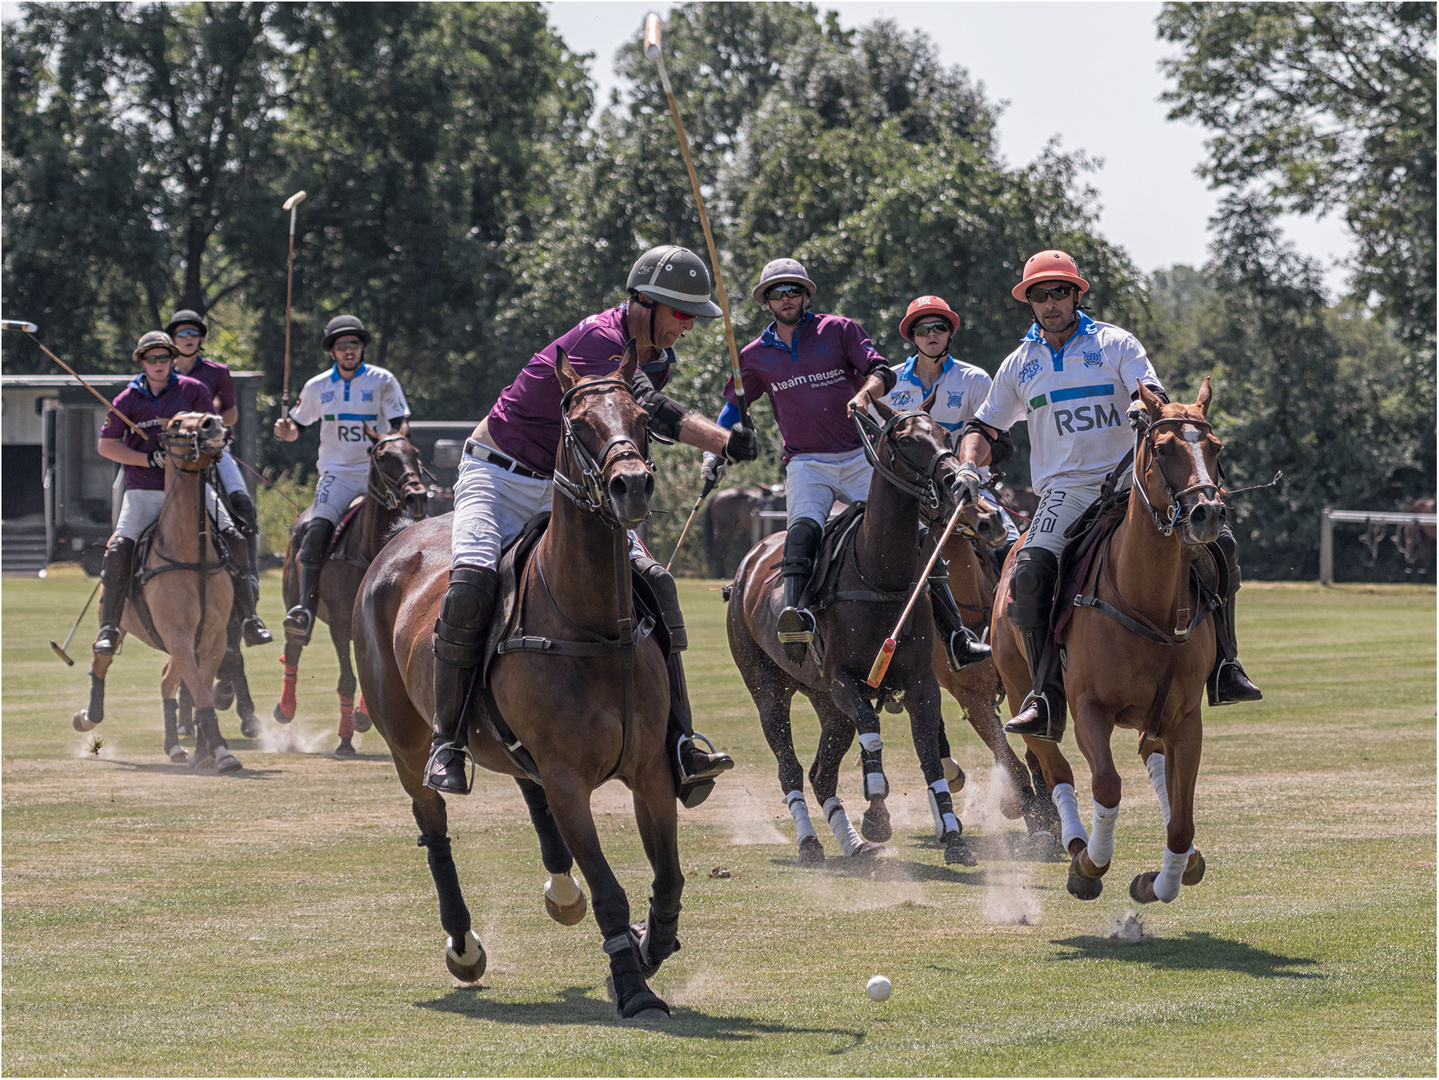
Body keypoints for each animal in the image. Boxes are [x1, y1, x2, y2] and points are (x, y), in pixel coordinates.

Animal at [74, 408, 241, 770]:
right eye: (177, 423)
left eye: (204, 409)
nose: (213, 424)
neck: (193, 555)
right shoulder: (177, 632)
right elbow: (199, 690)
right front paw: (220, 752)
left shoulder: (213, 636)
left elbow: (200, 686)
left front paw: (210, 751)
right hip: (118, 622)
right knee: (101, 656)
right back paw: (88, 716)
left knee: (167, 679)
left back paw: (176, 747)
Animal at [271, 431, 423, 742]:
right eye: (383, 457)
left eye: (415, 453)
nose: (417, 496)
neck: (367, 551)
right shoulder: (340, 623)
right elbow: (347, 681)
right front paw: (345, 738)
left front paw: (360, 719)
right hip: (293, 594)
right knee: (293, 645)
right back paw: (285, 708)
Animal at [352, 348, 679, 1023]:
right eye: (578, 425)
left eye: (642, 419)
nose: (632, 486)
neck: (591, 626)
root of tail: (398, 539)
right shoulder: (569, 780)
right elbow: (611, 890)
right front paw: (633, 988)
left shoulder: (652, 770)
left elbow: (667, 880)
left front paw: (645, 953)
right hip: (406, 743)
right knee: (434, 826)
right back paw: (463, 944)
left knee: (527, 792)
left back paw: (561, 891)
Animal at [731, 402, 978, 868]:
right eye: (906, 439)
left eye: (944, 434)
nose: (958, 483)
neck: (882, 575)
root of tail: (750, 560)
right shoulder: (844, 680)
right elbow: (872, 730)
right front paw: (877, 813)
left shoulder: (921, 683)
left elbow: (929, 756)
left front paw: (953, 836)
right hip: (768, 689)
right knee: (790, 768)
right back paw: (810, 843)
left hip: (824, 702)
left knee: (821, 774)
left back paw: (854, 845)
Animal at [995, 379, 1220, 903]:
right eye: (1163, 448)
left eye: (1216, 447)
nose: (1208, 512)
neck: (1148, 602)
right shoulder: (1088, 709)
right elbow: (1107, 785)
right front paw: (1089, 865)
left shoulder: (1185, 717)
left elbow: (1181, 818)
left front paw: (1162, 880)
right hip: (1018, 688)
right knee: (1055, 766)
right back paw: (1076, 843)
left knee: (1150, 756)